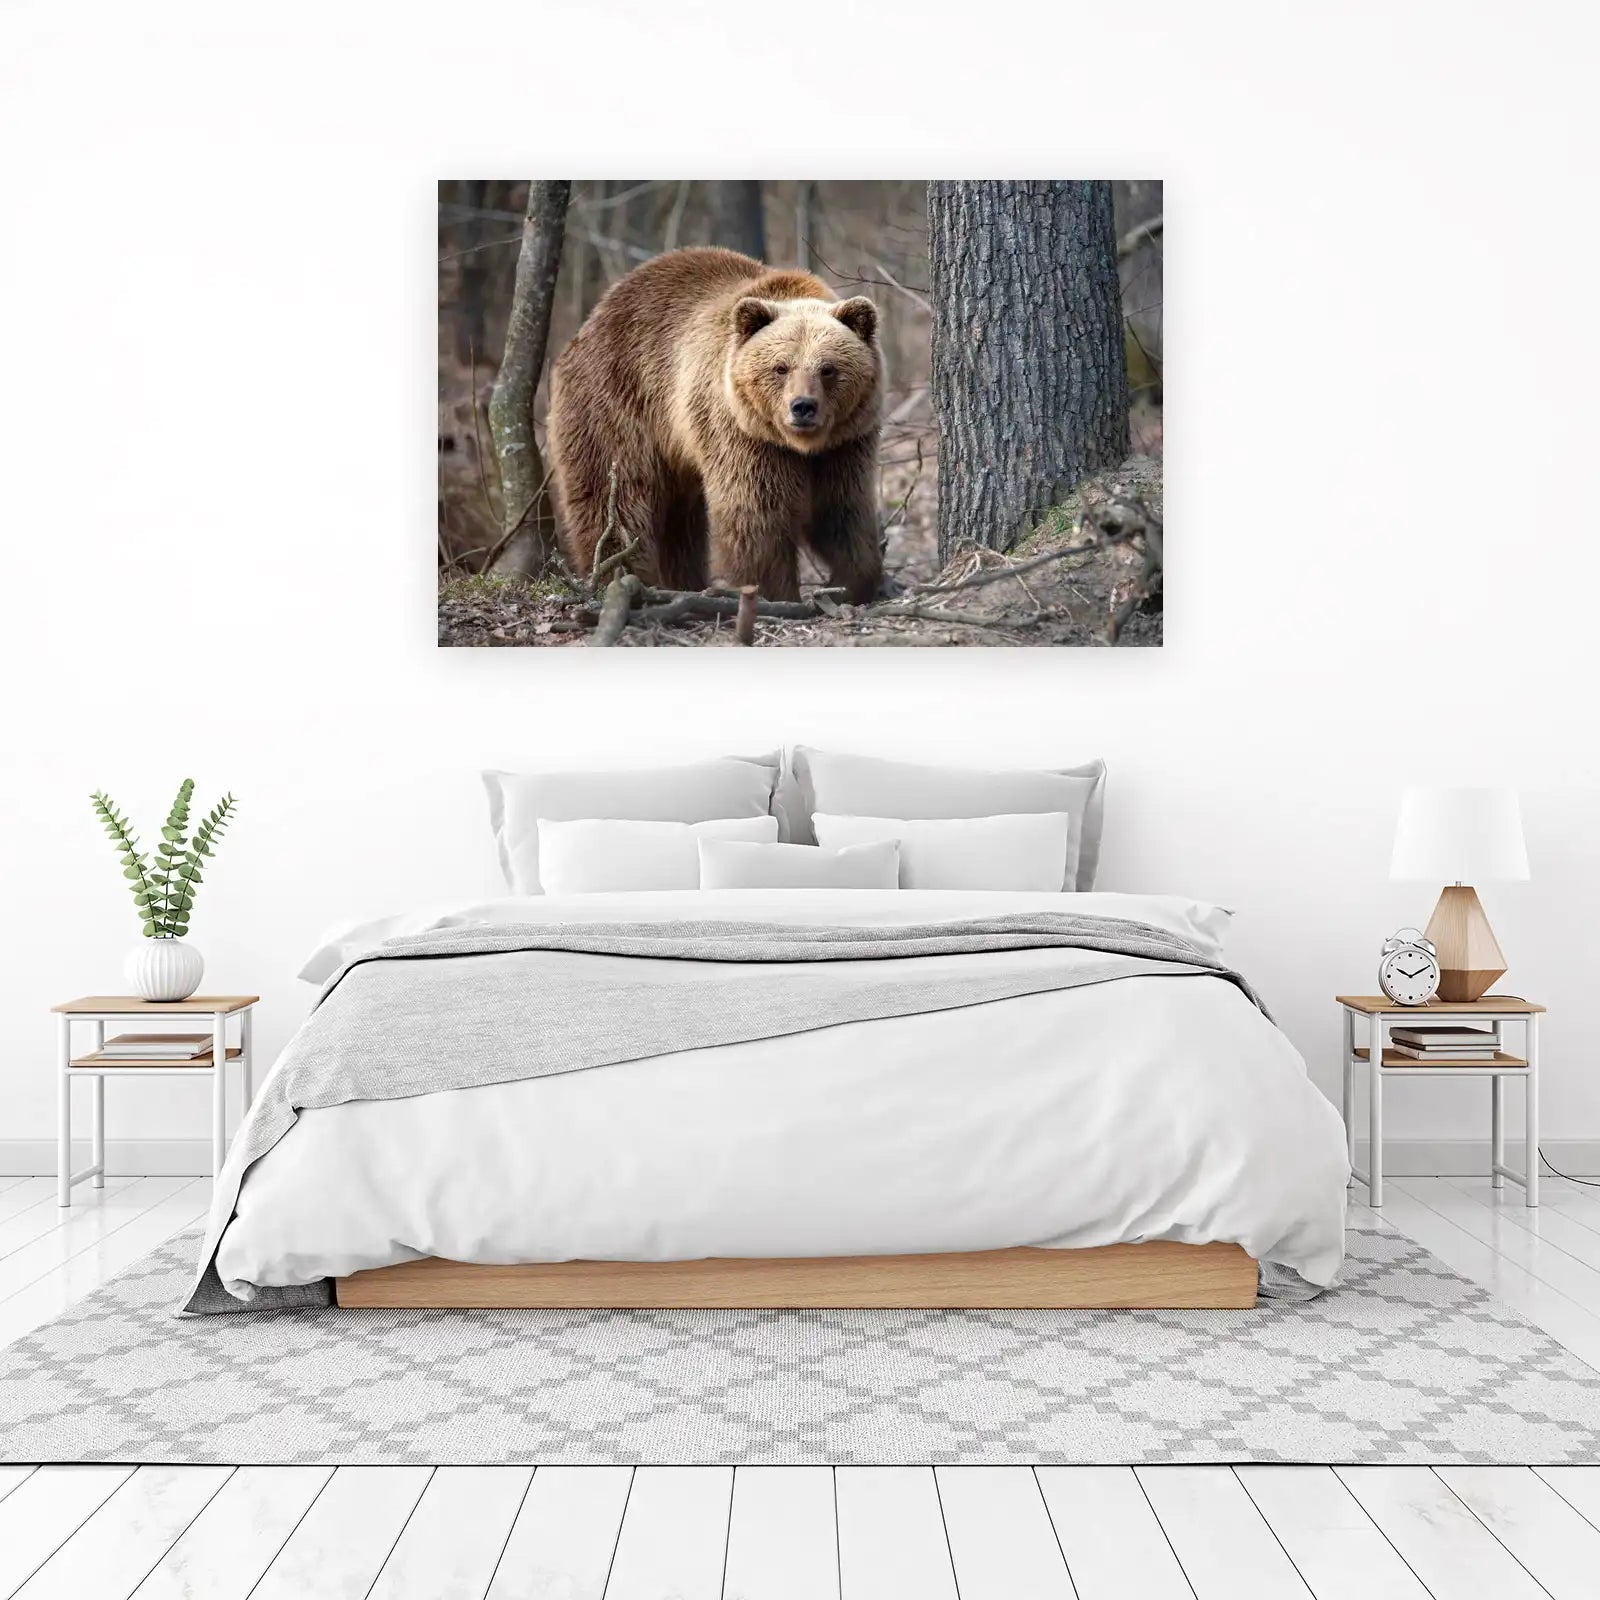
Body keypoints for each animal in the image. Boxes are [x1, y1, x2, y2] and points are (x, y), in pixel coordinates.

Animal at [547, 247, 884, 604]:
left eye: (828, 369)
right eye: (781, 367)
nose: (803, 407)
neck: (799, 446)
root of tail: (591, 320)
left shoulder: (844, 443)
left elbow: (841, 510)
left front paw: (851, 582)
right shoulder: (743, 435)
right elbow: (758, 515)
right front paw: (774, 592)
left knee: (681, 525)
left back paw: (683, 583)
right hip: (617, 406)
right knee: (615, 498)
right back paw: (621, 575)